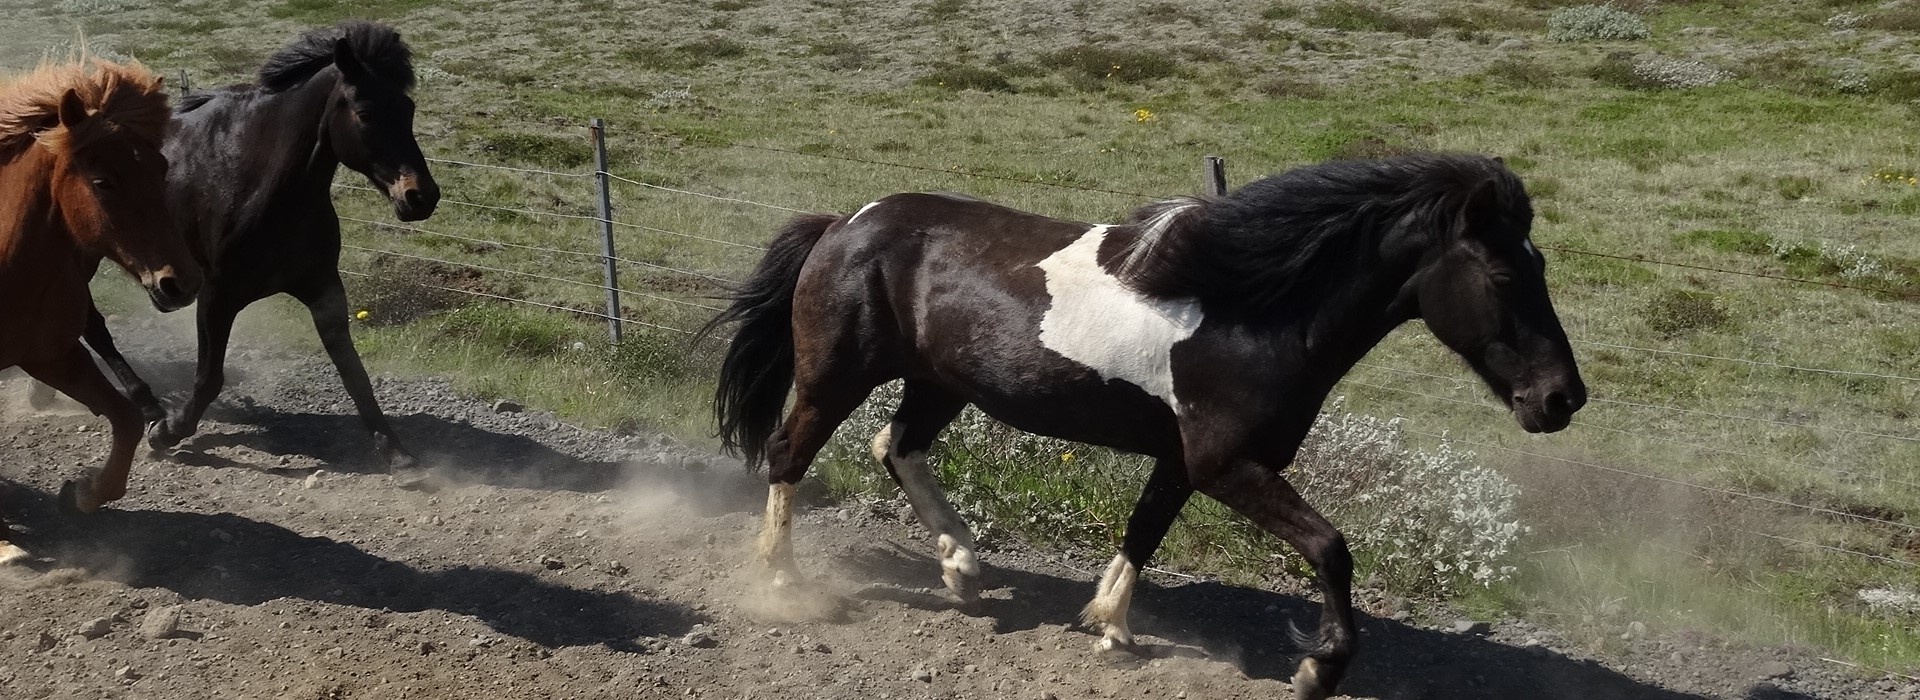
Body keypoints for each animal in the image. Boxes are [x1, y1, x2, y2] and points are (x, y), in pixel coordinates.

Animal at [0, 59, 201, 562]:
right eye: (103, 182)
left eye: (161, 168)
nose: (182, 282)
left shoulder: (53, 355)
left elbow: (126, 419)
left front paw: (83, 493)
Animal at [77, 21, 439, 471]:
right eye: (366, 113)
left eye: (408, 109)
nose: (421, 197)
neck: (265, 191)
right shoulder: (216, 295)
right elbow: (209, 378)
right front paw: (167, 433)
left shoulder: (324, 290)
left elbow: (354, 373)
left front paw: (396, 452)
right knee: (91, 326)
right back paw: (145, 408)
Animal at [708, 153, 1587, 700]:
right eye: (1502, 272)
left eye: (1540, 266)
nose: (1562, 399)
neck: (1256, 313)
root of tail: (842, 225)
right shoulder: (1228, 466)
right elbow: (1332, 550)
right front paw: (1318, 671)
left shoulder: (1184, 461)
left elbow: (1144, 532)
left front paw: (1110, 627)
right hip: (837, 375)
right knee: (789, 454)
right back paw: (782, 581)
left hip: (938, 384)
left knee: (897, 447)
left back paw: (963, 566)